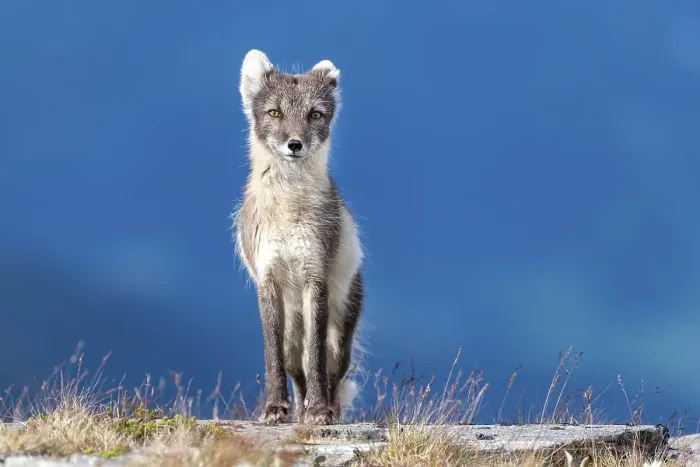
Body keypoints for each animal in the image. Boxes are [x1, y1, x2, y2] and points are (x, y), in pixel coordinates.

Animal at [233, 49, 364, 425]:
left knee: (329, 370)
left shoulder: (314, 275)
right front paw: (275, 408)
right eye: (274, 112)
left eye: (314, 114)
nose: (295, 144)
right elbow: (272, 355)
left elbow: (315, 356)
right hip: (293, 333)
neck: (289, 207)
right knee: (296, 367)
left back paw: (322, 408)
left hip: (340, 335)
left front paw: (320, 411)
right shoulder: (268, 278)